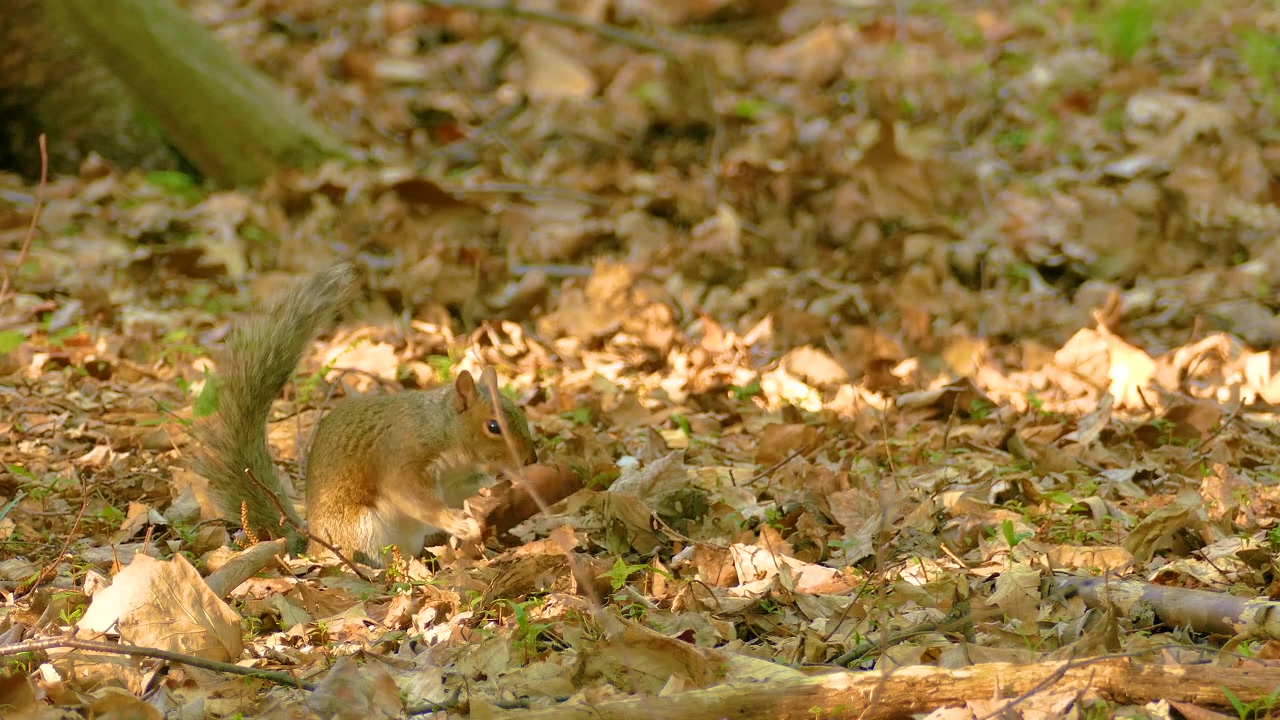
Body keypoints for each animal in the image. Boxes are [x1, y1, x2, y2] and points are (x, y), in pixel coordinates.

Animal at [192, 263, 538, 567]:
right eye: (493, 426)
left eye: (522, 417)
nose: (531, 460)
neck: (442, 430)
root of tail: (313, 545)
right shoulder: (402, 455)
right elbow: (412, 495)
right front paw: (456, 522)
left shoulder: (456, 481)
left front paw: (486, 495)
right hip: (361, 527)